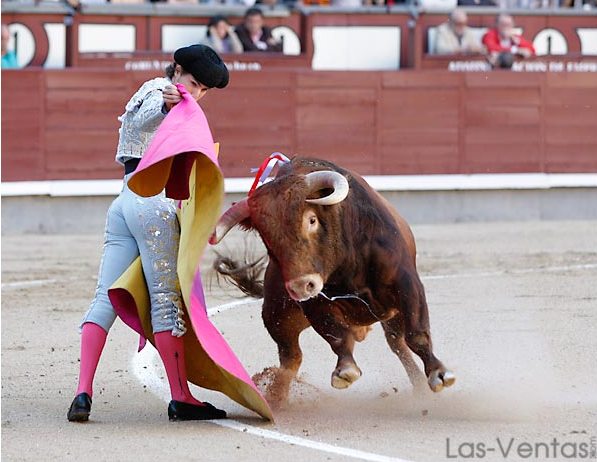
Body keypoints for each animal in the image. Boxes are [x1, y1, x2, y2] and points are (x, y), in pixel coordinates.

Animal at [208, 157, 452, 406]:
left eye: (311, 220)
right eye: (268, 239)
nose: (299, 286)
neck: (346, 265)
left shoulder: (407, 284)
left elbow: (417, 334)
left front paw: (439, 374)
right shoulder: (314, 303)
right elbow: (336, 336)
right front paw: (346, 370)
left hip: (390, 313)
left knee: (397, 343)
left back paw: (420, 388)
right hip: (277, 315)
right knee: (291, 358)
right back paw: (276, 399)